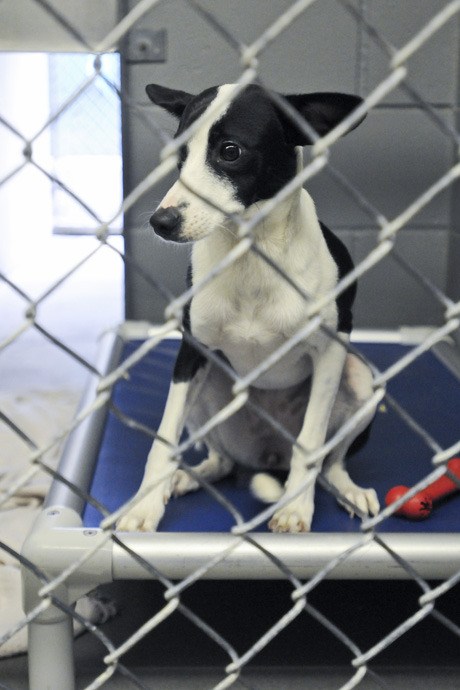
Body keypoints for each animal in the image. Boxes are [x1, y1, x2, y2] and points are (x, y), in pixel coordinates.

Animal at [117, 80, 380, 532]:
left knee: (330, 464)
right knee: (221, 461)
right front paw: (145, 506)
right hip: (208, 387)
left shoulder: (330, 351)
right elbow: (163, 442)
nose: (160, 222)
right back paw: (191, 477)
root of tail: (268, 456)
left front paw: (295, 509)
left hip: (362, 380)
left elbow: (311, 444)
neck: (251, 256)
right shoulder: (191, 350)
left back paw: (347, 490)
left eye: (230, 151)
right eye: (180, 153)